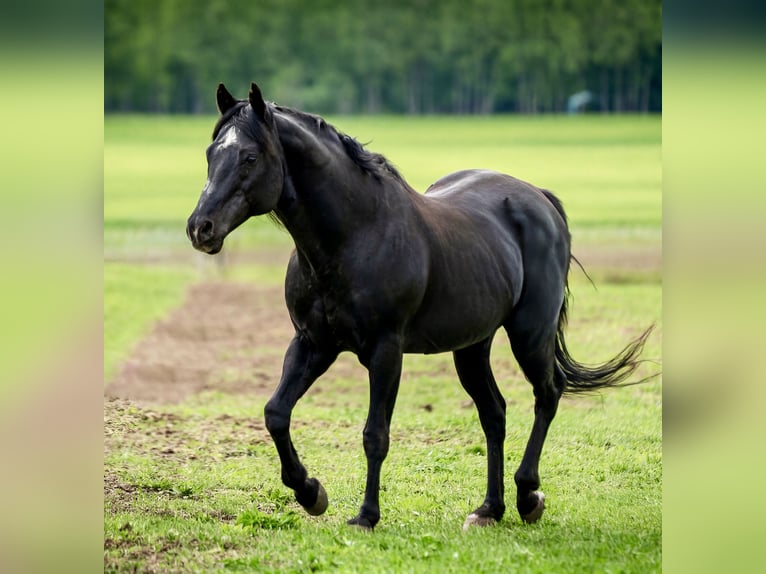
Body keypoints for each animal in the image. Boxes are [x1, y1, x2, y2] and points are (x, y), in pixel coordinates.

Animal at [187, 82, 652, 531]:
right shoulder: (312, 344)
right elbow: (276, 414)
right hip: (472, 347)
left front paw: (366, 516)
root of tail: (539, 198)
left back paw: (527, 497)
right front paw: (310, 492)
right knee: (494, 413)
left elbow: (375, 434)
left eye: (249, 157)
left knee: (548, 394)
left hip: (530, 334)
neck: (355, 235)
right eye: (211, 153)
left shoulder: (385, 351)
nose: (200, 228)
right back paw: (489, 509)